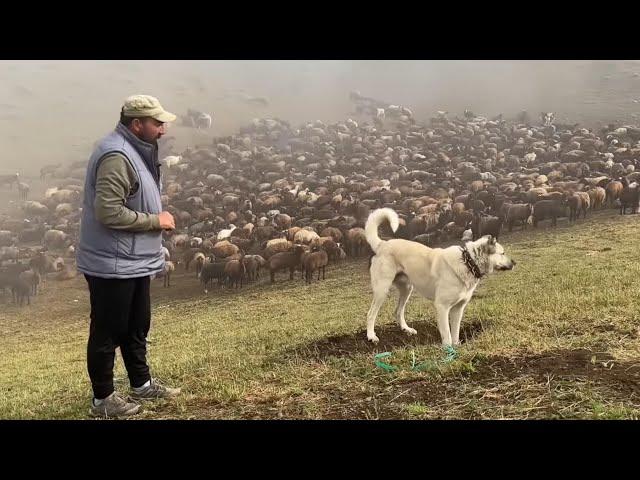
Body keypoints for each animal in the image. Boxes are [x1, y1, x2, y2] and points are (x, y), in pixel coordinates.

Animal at [364, 208, 516, 346]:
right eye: (502, 253)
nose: (514, 263)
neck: (467, 262)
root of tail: (382, 244)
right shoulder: (442, 307)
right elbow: (447, 335)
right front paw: (448, 351)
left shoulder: (458, 309)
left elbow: (455, 333)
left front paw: (456, 348)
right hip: (382, 290)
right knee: (371, 314)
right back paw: (371, 336)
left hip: (407, 289)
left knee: (398, 311)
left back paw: (406, 329)